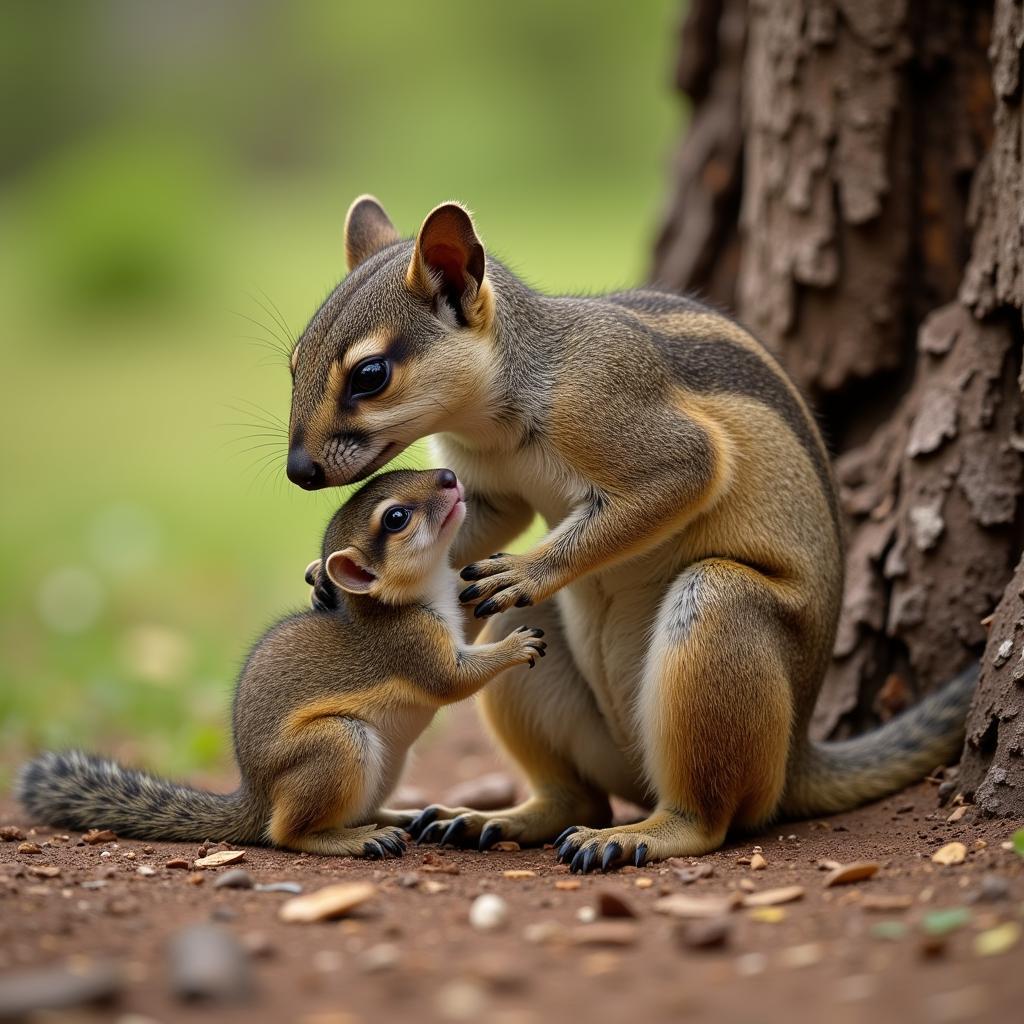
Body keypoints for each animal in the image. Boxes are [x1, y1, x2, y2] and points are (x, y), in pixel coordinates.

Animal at [18, 471, 544, 856]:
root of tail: (254, 798)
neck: (406, 597)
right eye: (396, 517)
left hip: (390, 763)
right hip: (339, 743)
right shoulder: (410, 644)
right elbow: (452, 680)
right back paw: (357, 839)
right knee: (286, 833)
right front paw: (516, 645)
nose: (450, 476)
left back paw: (396, 817)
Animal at [278, 197, 974, 872]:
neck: (499, 418)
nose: (298, 471)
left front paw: (526, 569)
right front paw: (322, 580)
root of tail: (800, 753)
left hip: (718, 613)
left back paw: (642, 835)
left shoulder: (618, 410)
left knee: (709, 817)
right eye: (293, 364)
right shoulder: (485, 489)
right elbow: (478, 523)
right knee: (576, 794)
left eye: (370, 374)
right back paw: (492, 819)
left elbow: (682, 473)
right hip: (533, 648)